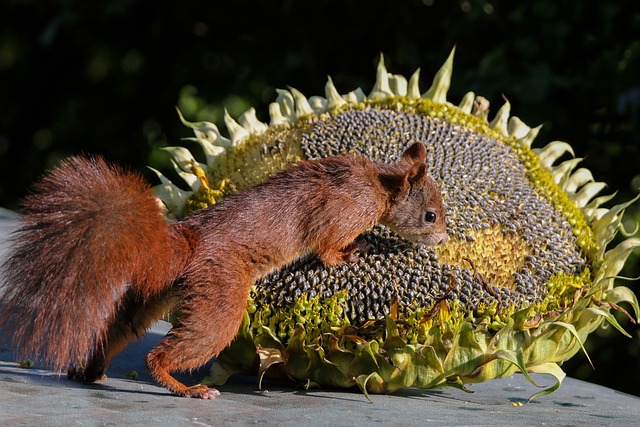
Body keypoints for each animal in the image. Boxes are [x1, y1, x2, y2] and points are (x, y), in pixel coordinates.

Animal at [0, 142, 448, 400]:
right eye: (430, 215)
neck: (378, 185)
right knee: (166, 351)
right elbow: (326, 250)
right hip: (221, 296)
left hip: (155, 297)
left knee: (119, 330)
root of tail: (188, 243)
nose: (443, 239)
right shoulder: (339, 215)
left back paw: (92, 371)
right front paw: (355, 251)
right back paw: (186, 388)